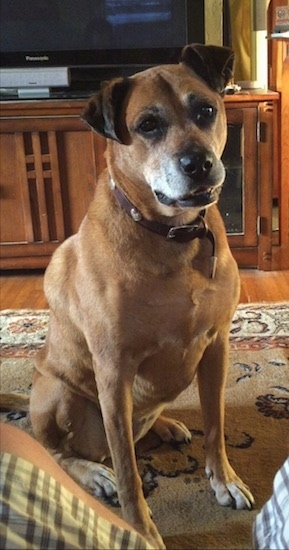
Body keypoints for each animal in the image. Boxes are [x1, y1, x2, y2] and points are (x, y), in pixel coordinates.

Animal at [29, 45, 253, 548]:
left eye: (205, 110)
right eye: (148, 124)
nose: (198, 163)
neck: (172, 236)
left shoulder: (217, 346)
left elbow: (216, 424)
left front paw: (224, 479)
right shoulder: (114, 372)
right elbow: (130, 473)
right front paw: (140, 530)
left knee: (139, 429)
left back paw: (167, 425)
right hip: (60, 394)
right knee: (62, 452)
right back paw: (94, 473)